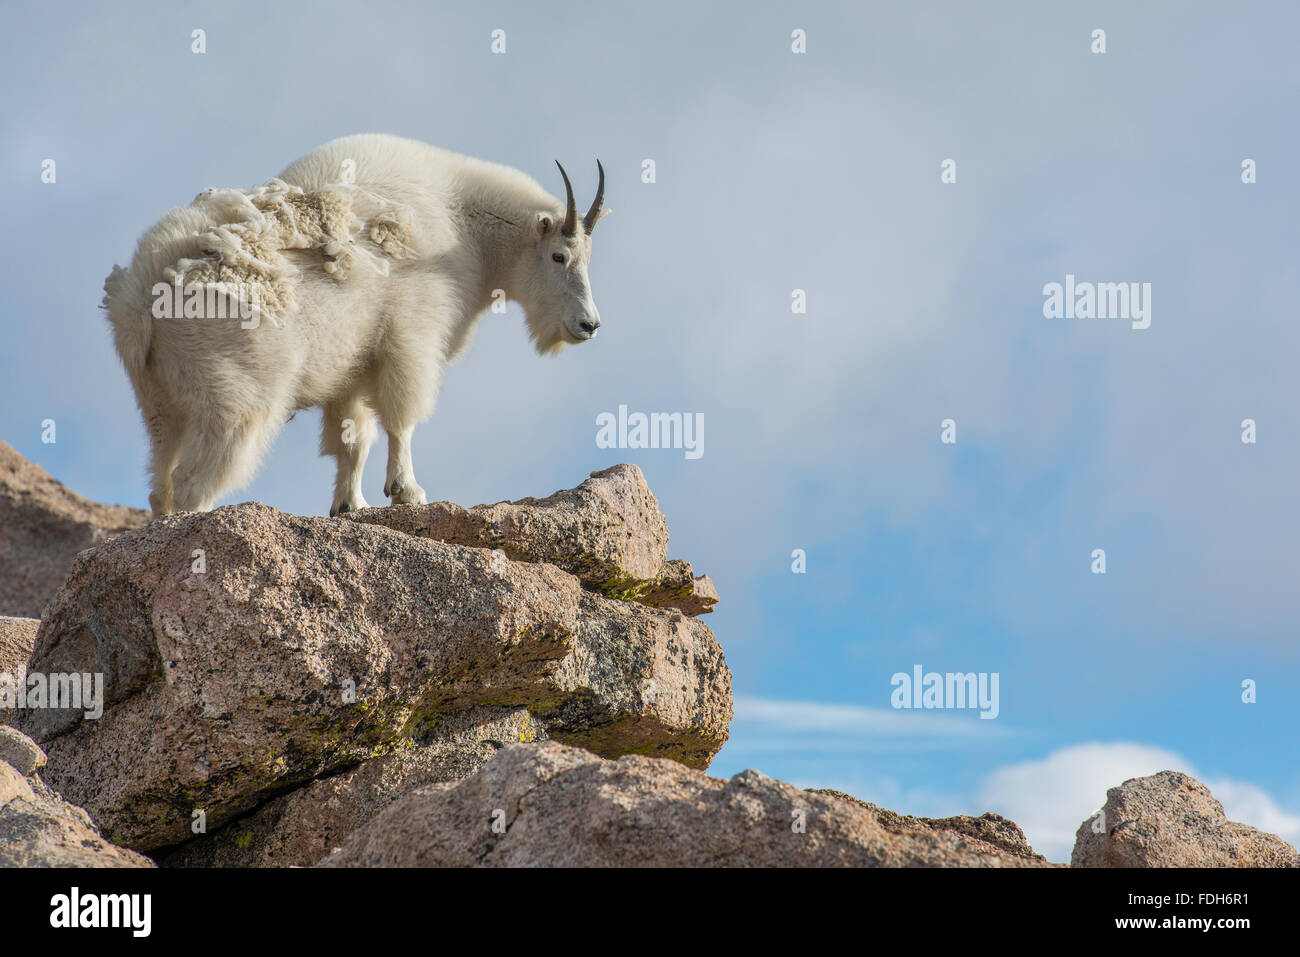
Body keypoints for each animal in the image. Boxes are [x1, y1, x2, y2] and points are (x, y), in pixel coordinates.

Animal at [102, 134, 608, 514]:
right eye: (559, 256)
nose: (589, 325)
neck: (462, 224)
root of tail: (139, 299)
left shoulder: (351, 366)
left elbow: (353, 440)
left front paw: (351, 505)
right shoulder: (411, 337)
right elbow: (402, 419)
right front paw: (407, 492)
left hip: (159, 403)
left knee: (159, 484)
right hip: (234, 399)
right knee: (193, 481)